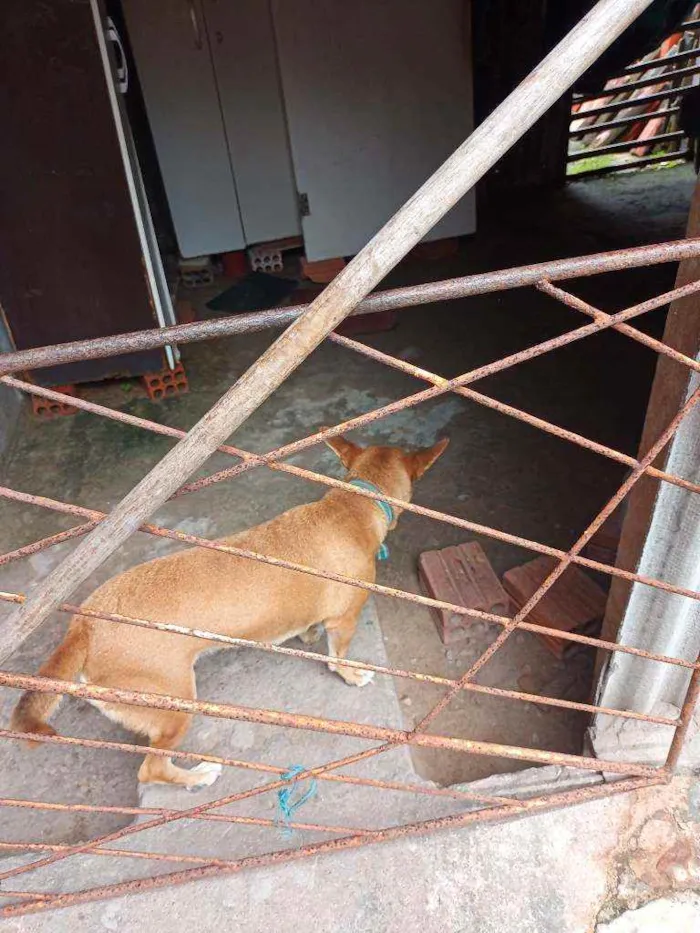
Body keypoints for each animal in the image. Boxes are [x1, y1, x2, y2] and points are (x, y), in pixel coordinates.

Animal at [12, 434, 448, 792]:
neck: (353, 502)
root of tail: (84, 623)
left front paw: (306, 635)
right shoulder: (344, 620)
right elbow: (337, 657)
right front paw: (351, 674)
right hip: (176, 704)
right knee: (151, 769)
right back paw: (198, 776)